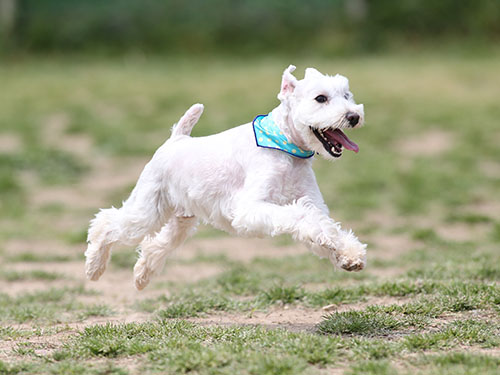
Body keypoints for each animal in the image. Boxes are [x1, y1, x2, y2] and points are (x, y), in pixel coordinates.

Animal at [85, 65, 368, 290]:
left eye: (347, 95)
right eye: (320, 98)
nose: (354, 116)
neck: (286, 147)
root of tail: (175, 139)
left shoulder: (313, 203)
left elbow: (326, 226)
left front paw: (349, 255)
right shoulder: (250, 208)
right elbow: (301, 217)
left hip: (182, 220)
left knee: (156, 245)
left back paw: (142, 275)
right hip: (146, 212)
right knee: (106, 223)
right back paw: (94, 268)